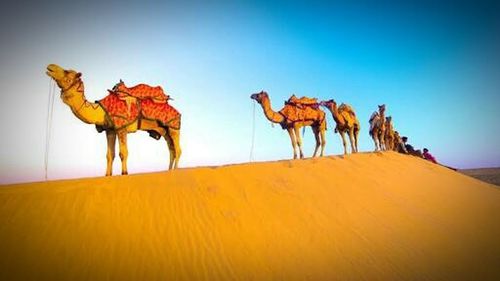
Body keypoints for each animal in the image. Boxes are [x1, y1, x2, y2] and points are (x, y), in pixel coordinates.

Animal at [45, 64, 182, 176]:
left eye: (67, 72)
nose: (50, 67)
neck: (101, 110)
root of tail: (178, 112)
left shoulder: (121, 128)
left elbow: (123, 153)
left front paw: (124, 173)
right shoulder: (110, 130)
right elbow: (109, 155)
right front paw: (107, 175)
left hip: (173, 127)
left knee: (178, 150)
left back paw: (175, 170)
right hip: (164, 130)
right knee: (171, 150)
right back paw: (169, 170)